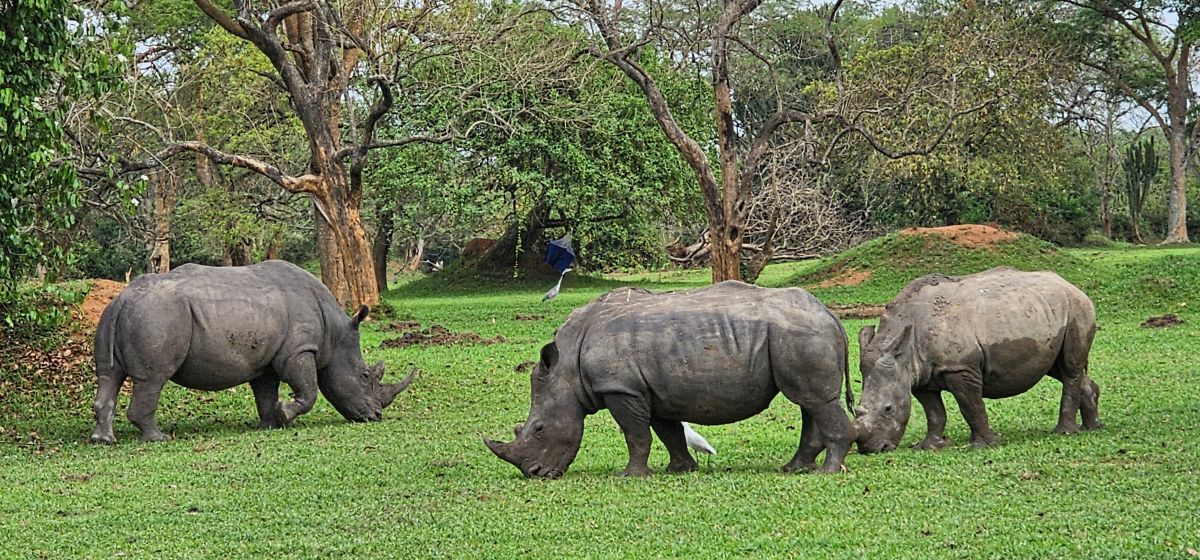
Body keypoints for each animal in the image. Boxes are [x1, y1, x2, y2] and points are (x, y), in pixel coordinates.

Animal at [88, 260, 417, 443]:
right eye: (364, 376)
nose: (376, 415)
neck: (336, 334)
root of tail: (123, 298)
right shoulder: (298, 351)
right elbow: (309, 391)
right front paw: (286, 414)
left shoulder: (268, 360)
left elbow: (265, 392)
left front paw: (271, 423)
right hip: (159, 315)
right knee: (153, 379)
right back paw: (158, 438)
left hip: (121, 315)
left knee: (109, 375)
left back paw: (103, 440)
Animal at [485, 281, 855, 478]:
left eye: (539, 429)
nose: (535, 474)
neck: (567, 367)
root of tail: (830, 315)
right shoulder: (651, 389)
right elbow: (668, 432)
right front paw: (680, 470)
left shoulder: (622, 388)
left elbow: (636, 435)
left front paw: (630, 476)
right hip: (797, 335)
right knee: (808, 401)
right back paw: (793, 468)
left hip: (801, 334)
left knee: (815, 401)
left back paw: (826, 472)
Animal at [853, 267, 1100, 453]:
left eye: (888, 409)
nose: (872, 448)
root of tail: (1071, 285)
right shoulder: (919, 375)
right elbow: (934, 412)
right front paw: (929, 446)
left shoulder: (960, 367)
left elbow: (970, 405)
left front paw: (983, 445)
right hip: (1045, 312)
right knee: (1059, 369)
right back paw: (1092, 428)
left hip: (1077, 309)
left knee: (1069, 369)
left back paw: (1064, 432)